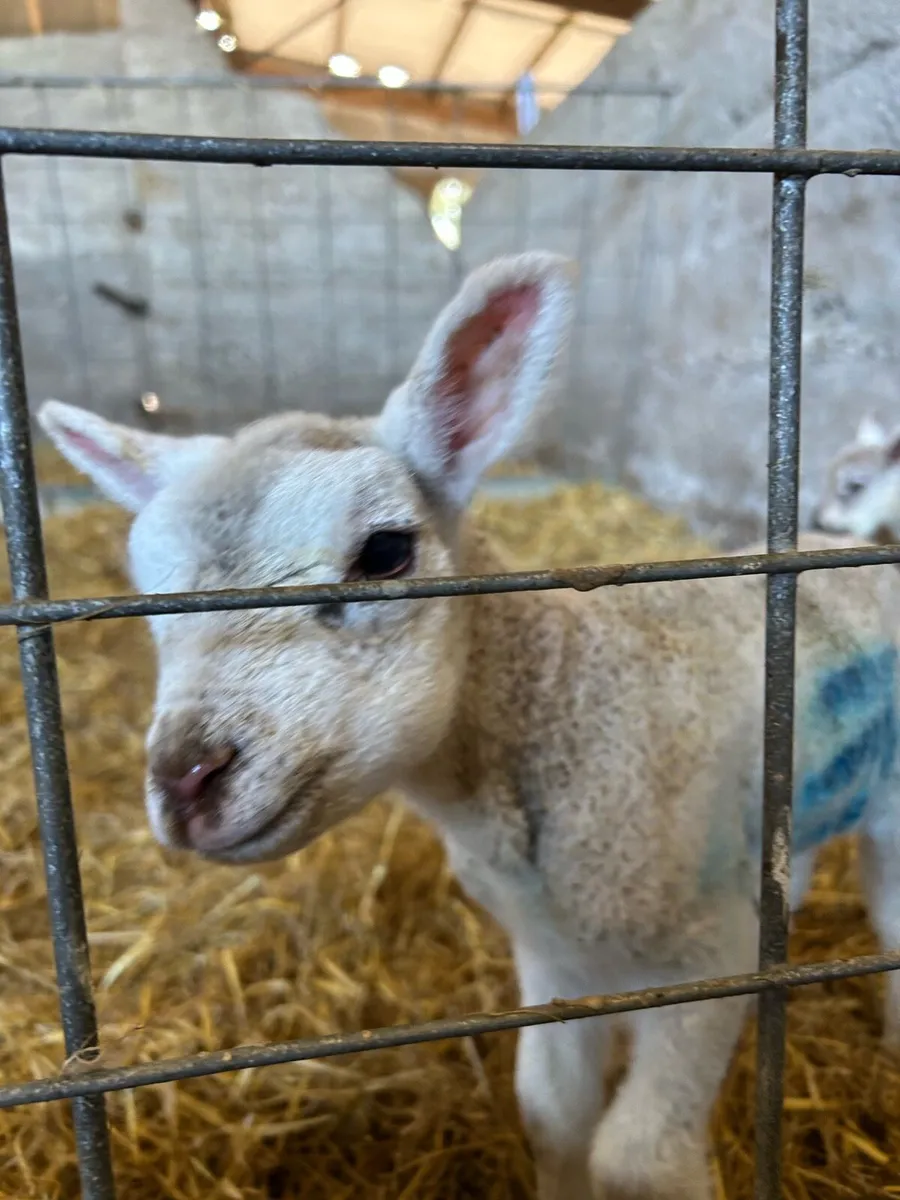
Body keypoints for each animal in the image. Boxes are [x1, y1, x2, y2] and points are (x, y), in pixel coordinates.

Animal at [38, 253, 900, 1200]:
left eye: (386, 552)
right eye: (148, 593)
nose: (187, 778)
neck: (568, 708)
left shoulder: (709, 955)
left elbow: (638, 1156)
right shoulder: (556, 955)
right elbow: (552, 1114)